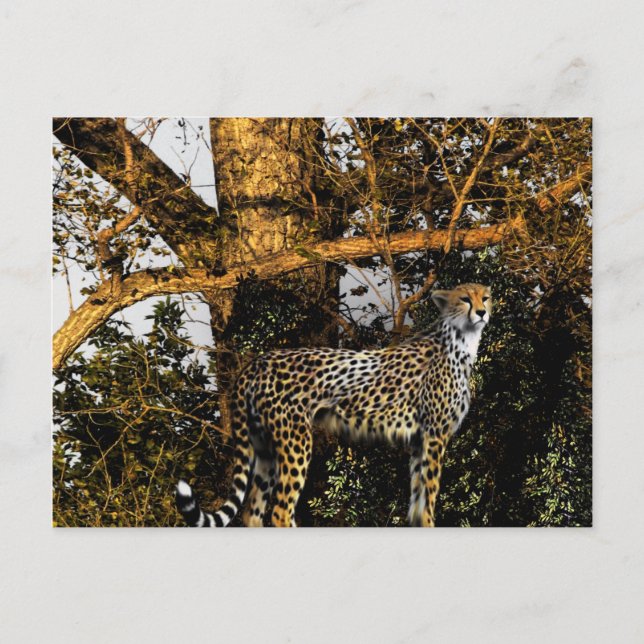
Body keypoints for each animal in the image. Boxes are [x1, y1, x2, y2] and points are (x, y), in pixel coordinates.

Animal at [176, 283, 492, 527]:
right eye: (465, 299)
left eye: (486, 297)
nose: (482, 312)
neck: (460, 340)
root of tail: (258, 361)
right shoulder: (434, 435)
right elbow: (429, 494)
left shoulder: (419, 439)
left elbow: (417, 496)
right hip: (295, 441)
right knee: (280, 510)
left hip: (265, 446)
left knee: (253, 510)